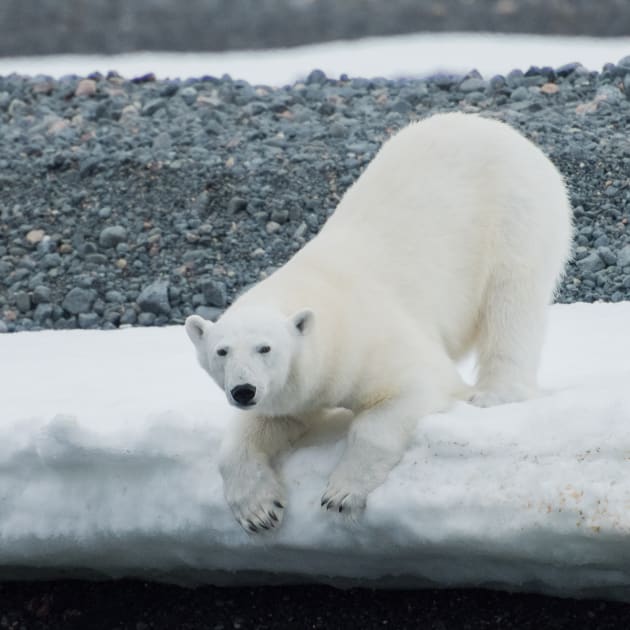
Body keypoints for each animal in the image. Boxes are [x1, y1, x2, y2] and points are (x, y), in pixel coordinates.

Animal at [185, 112, 576, 532]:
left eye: (265, 347)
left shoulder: (372, 343)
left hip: (515, 214)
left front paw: (341, 494)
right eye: (222, 351)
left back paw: (495, 393)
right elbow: (265, 425)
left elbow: (409, 394)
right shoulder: (293, 388)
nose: (243, 390)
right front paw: (259, 510)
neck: (330, 307)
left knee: (512, 302)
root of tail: (500, 129)